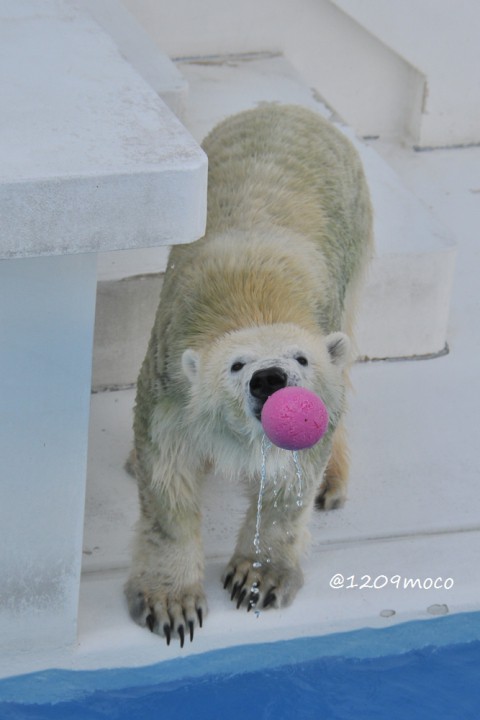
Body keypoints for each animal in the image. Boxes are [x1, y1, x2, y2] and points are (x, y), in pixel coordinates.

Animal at [124, 102, 372, 648]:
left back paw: (333, 483)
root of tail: (289, 107)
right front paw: (171, 604)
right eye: (236, 364)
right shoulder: (171, 384)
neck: (254, 296)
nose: (269, 380)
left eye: (301, 359)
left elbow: (291, 485)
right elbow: (168, 475)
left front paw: (257, 579)